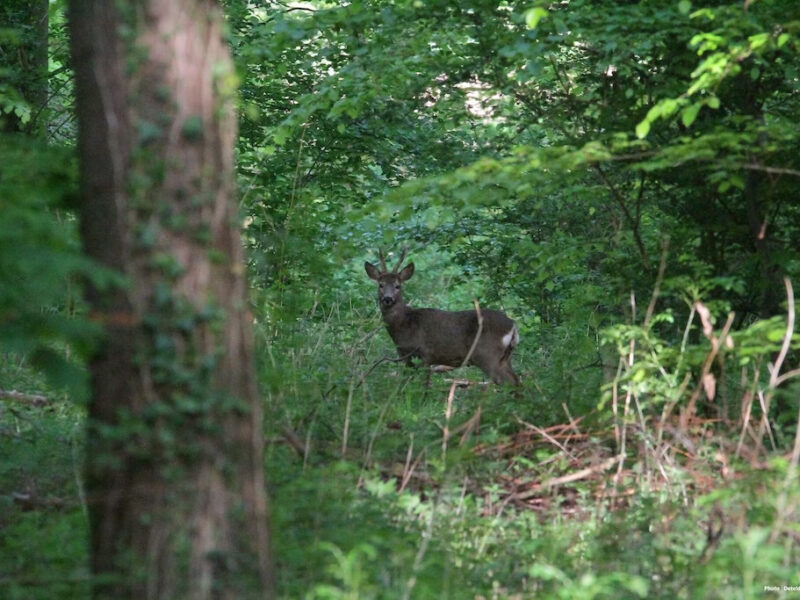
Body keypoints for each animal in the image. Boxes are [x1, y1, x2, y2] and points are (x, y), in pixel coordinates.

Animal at [366, 247, 520, 384]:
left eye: (398, 286)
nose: (388, 298)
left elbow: (424, 386)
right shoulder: (405, 356)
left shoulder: (425, 354)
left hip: (488, 354)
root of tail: (513, 326)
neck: (405, 324)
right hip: (504, 357)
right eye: (381, 284)